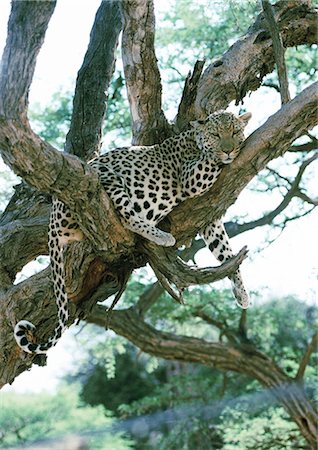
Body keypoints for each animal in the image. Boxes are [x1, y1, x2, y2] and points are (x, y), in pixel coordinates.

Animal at [14, 110, 252, 354]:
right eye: (215, 135)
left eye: (234, 132)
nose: (228, 149)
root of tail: (53, 215)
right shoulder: (191, 178)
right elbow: (211, 159)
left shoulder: (209, 219)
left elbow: (226, 253)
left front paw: (241, 293)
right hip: (107, 177)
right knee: (127, 218)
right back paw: (162, 236)